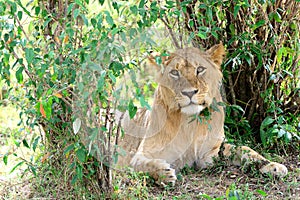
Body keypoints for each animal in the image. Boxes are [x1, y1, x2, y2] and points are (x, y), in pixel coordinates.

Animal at [115, 43, 288, 185]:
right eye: (175, 72)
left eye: (200, 69)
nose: (189, 92)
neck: (190, 124)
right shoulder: (140, 155)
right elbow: (143, 165)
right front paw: (164, 173)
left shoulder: (210, 154)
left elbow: (244, 149)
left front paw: (272, 166)